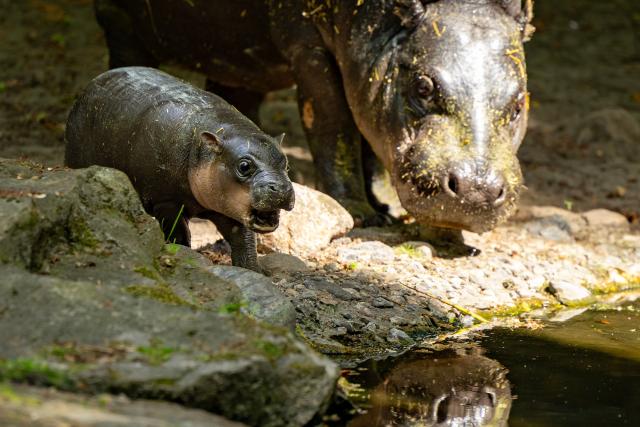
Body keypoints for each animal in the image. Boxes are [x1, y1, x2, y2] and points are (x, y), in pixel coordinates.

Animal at [65, 67, 295, 272]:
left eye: (285, 163)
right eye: (244, 166)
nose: (282, 188)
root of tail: (94, 81)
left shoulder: (229, 208)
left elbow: (244, 241)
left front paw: (254, 271)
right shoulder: (167, 202)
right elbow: (180, 235)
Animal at [94, 0, 534, 232]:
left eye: (518, 103)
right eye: (423, 86)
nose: (476, 189)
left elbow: (364, 131)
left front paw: (383, 208)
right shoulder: (309, 47)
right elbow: (332, 120)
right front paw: (361, 214)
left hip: (238, 59)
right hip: (122, 23)